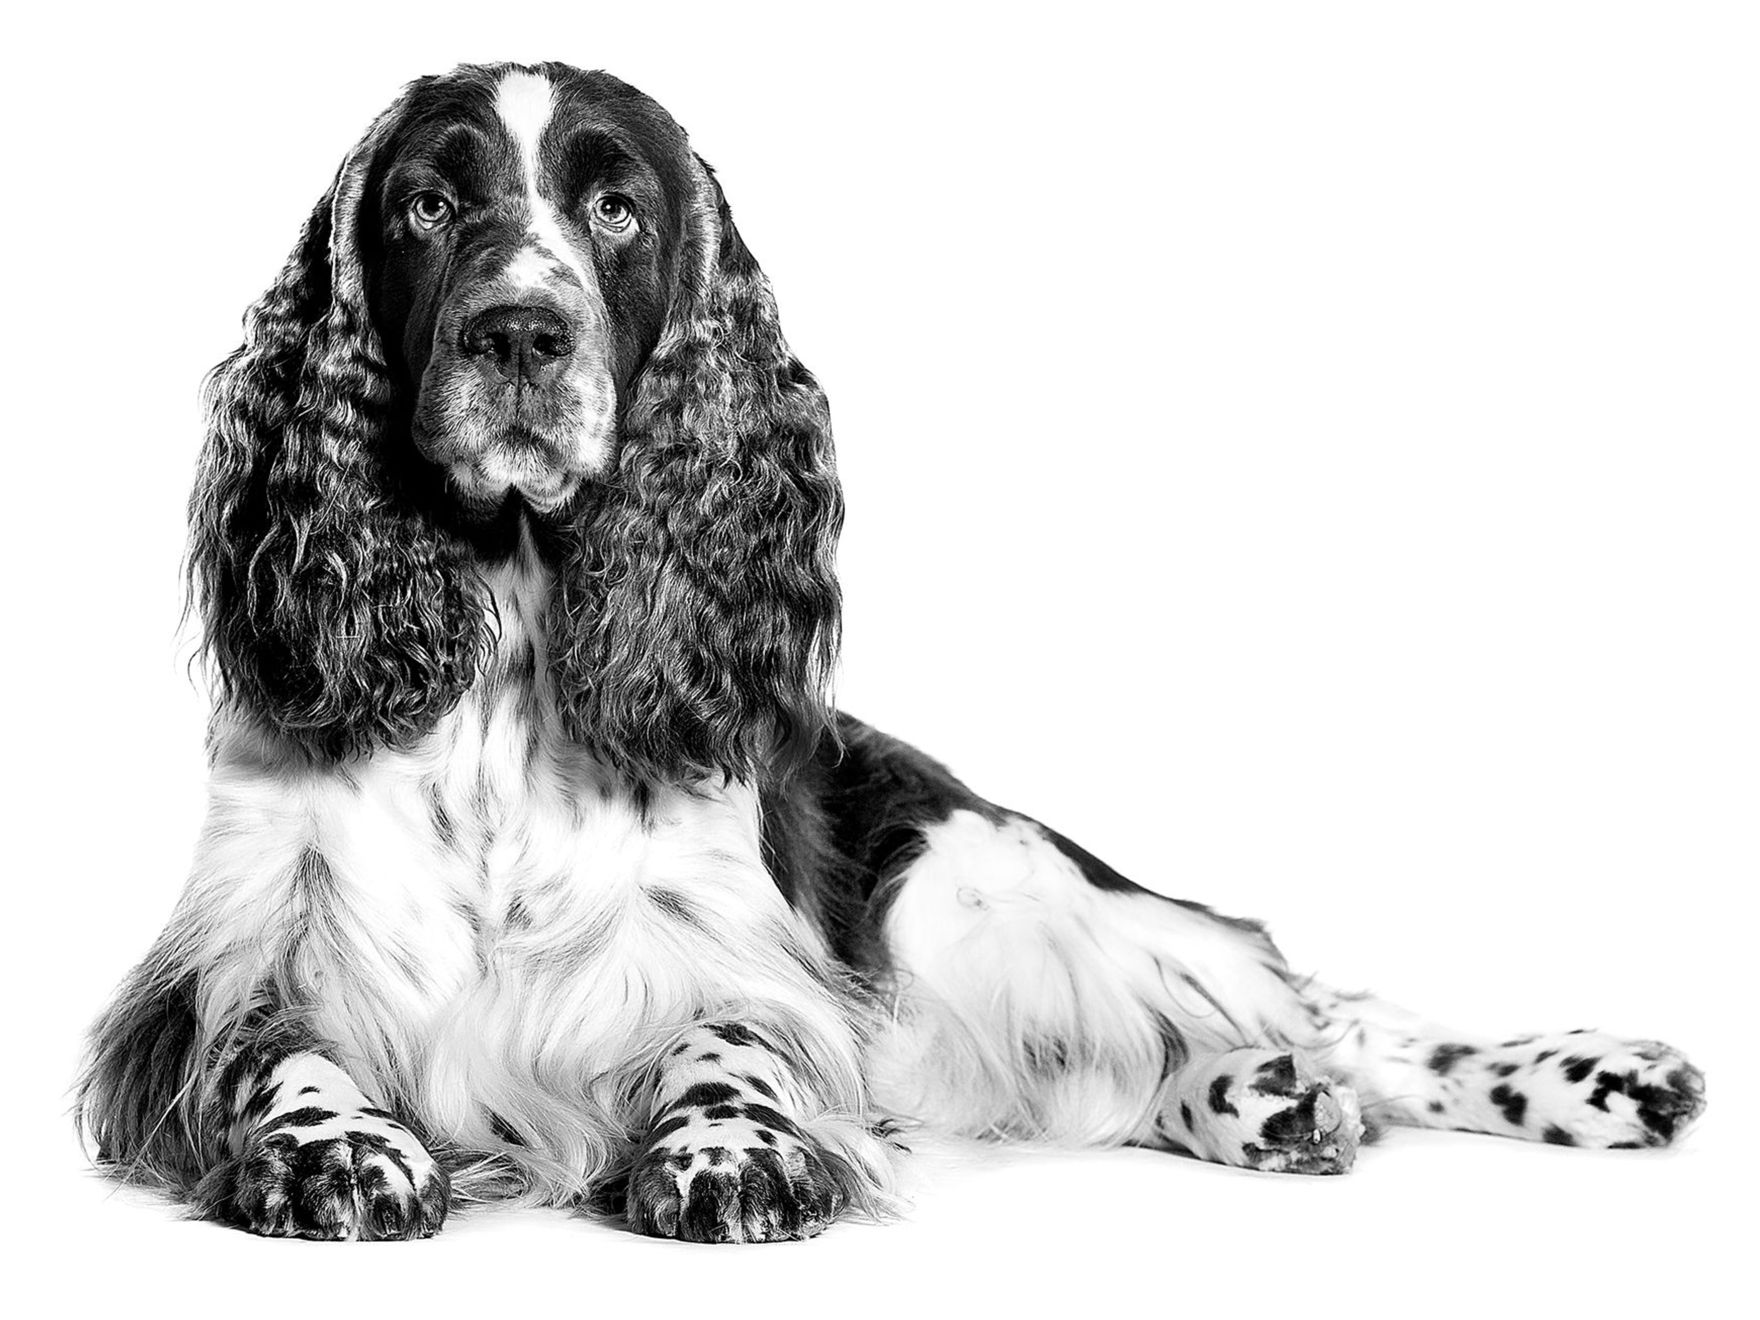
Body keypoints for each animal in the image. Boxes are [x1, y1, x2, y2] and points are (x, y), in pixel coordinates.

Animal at [79, 59, 1703, 1239]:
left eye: (618, 212)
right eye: (422, 206)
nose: (519, 334)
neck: (511, 651)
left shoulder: (748, 955)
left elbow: (733, 1040)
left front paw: (728, 1147)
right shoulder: (238, 955)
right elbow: (273, 1047)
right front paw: (333, 1143)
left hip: (978, 895)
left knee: (1301, 989)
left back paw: (1583, 1074)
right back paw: (1267, 1100)